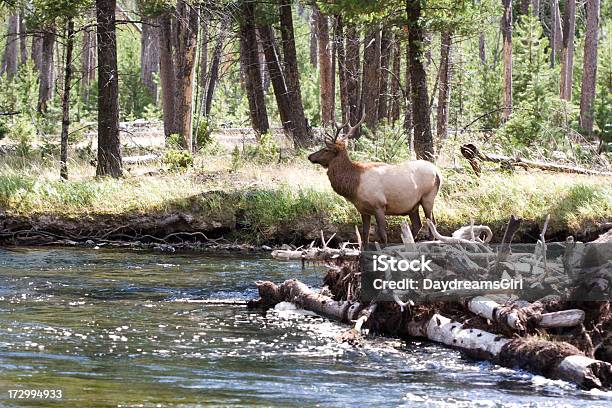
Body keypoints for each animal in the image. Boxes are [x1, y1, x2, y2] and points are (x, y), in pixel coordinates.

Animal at [308, 113, 442, 244]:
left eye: (326, 149)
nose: (310, 156)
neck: (354, 186)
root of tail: (437, 172)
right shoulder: (363, 210)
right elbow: (365, 235)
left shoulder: (379, 205)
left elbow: (382, 234)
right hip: (412, 205)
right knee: (417, 225)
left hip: (428, 197)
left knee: (432, 223)